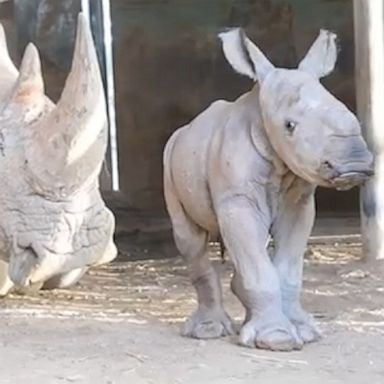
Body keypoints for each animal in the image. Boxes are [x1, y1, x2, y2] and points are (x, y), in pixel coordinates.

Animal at [164, 27, 374, 352]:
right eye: (289, 126)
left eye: (352, 115)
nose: (356, 165)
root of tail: (185, 129)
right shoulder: (238, 199)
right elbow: (259, 267)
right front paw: (276, 339)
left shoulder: (300, 201)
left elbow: (286, 267)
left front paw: (304, 331)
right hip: (170, 156)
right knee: (190, 239)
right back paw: (209, 331)